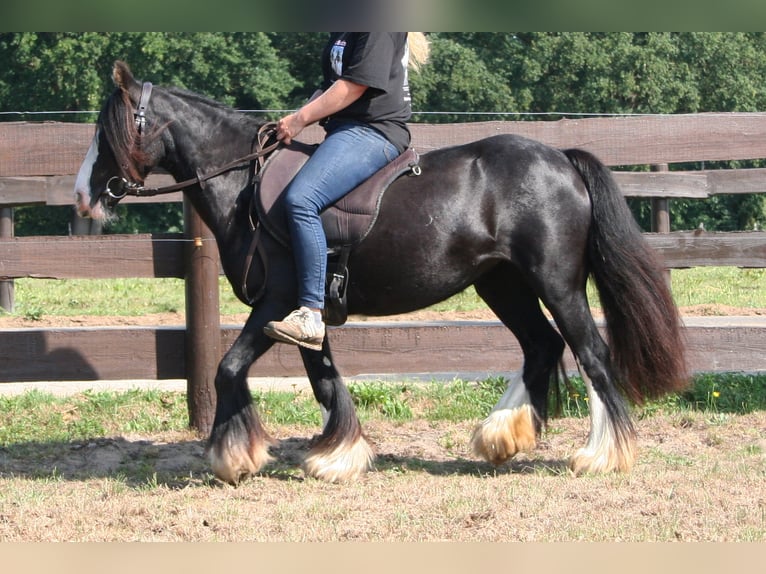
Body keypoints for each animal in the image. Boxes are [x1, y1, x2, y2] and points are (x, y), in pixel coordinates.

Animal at [76, 62, 688, 486]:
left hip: (556, 284)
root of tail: (561, 159)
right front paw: (337, 455)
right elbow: (323, 378)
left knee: (590, 353)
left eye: (109, 129)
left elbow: (228, 369)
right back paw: (502, 435)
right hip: (502, 283)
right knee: (541, 345)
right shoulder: (303, 314)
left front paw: (234, 458)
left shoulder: (275, 301)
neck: (246, 185)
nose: (84, 195)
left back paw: (602, 453)